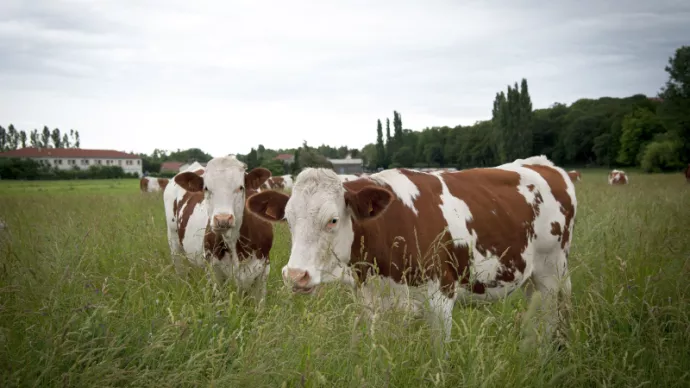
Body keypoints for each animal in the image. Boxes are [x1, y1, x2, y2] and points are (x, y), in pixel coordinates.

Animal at [165, 155, 274, 304]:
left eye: (241, 187)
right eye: (206, 188)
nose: (223, 219)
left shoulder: (263, 270)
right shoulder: (213, 271)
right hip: (174, 245)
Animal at [247, 155, 576, 352]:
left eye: (333, 220)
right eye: (288, 220)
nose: (295, 275)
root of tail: (542, 163)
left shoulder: (441, 299)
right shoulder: (376, 306)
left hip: (551, 272)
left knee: (550, 319)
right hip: (533, 278)